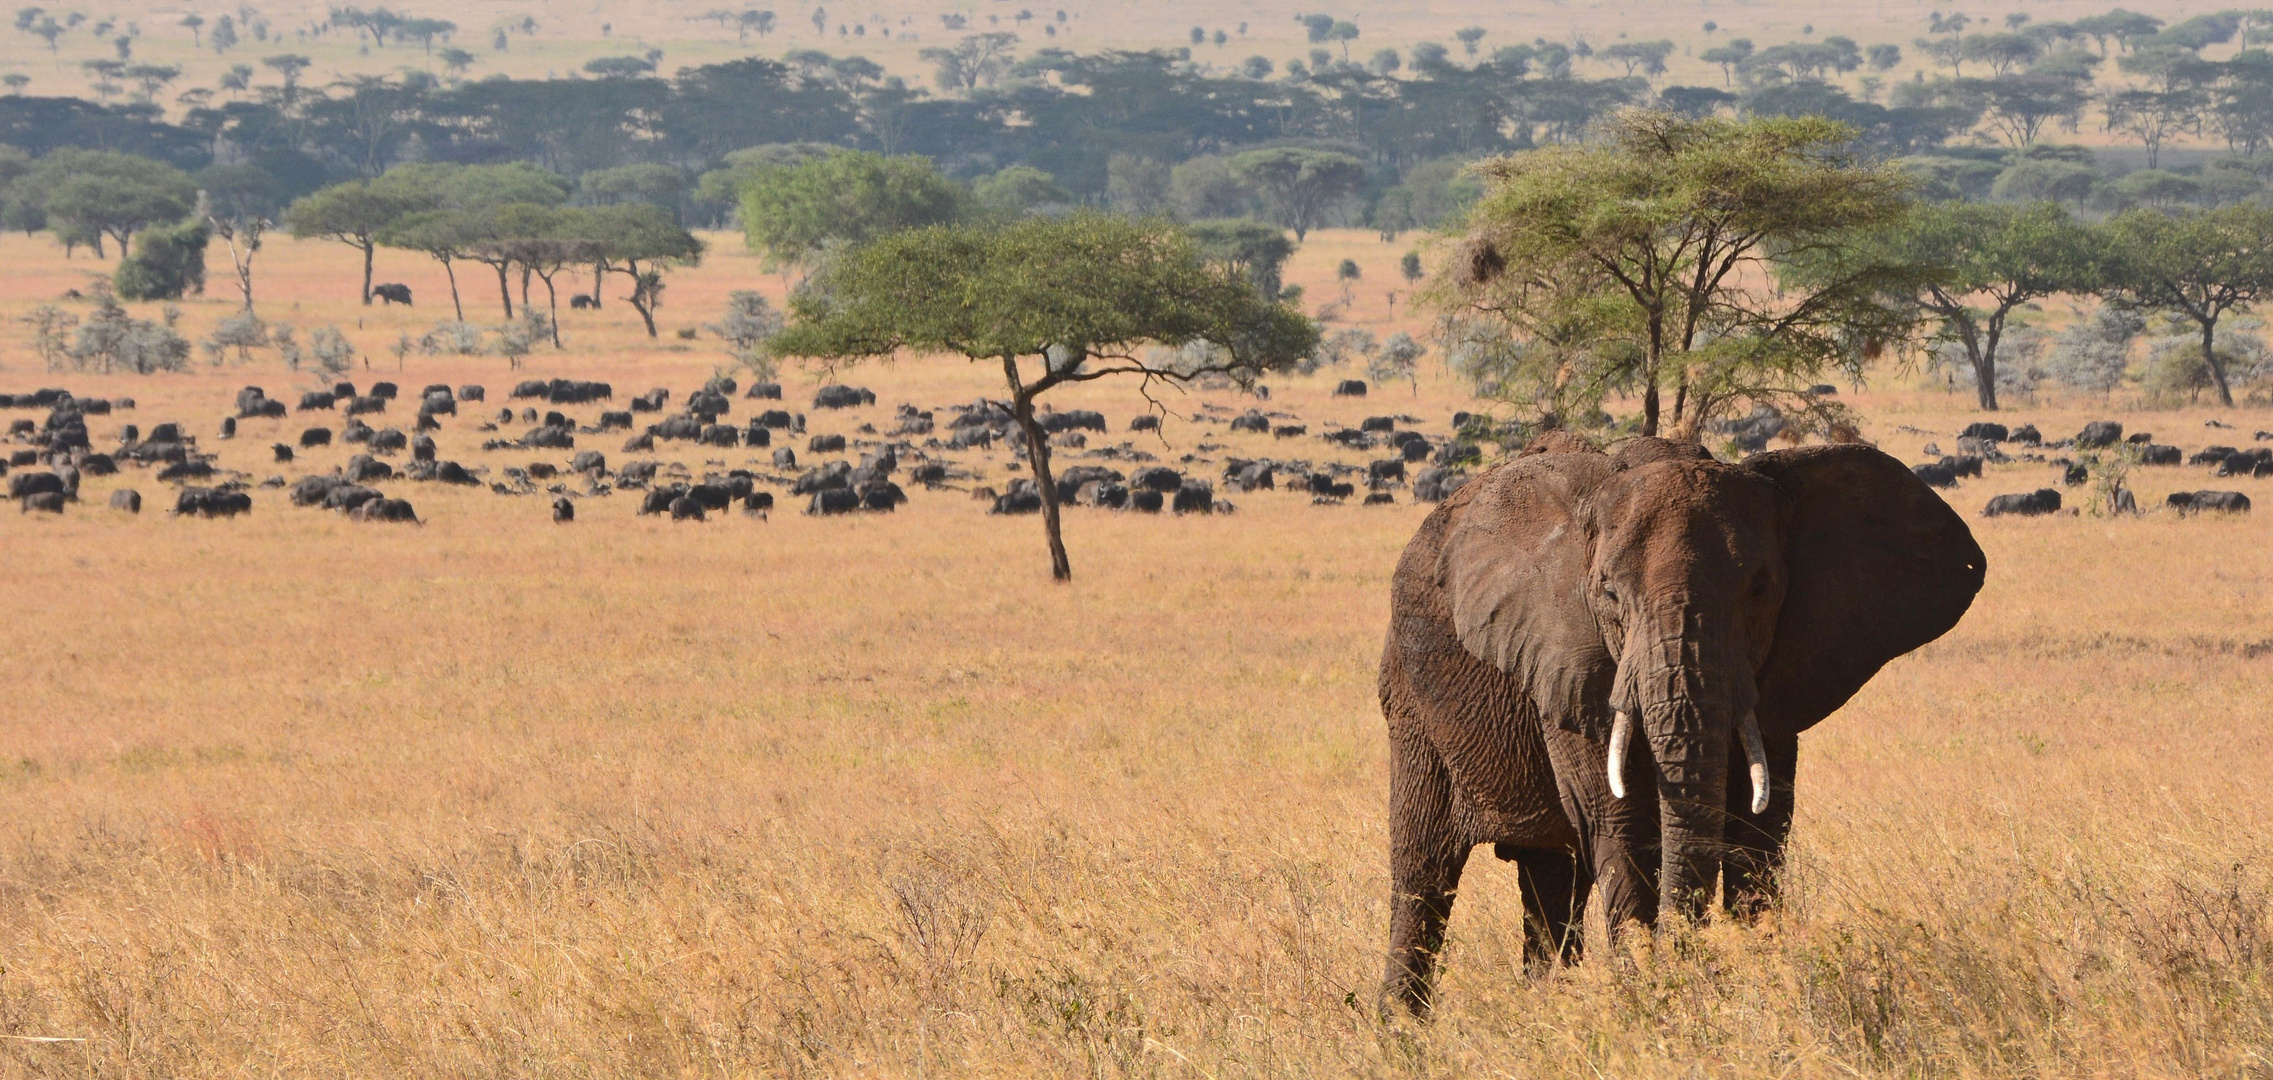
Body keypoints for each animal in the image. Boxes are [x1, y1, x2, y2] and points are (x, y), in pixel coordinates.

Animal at [1372, 432, 1982, 1014]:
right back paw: (1401, 1031)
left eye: (1760, 589)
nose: (1693, 967)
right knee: (1424, 875)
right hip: (1409, 702)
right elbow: (1624, 827)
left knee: (1549, 883)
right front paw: (1652, 1002)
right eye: (1609, 593)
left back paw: (1546, 1010)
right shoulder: (1566, 660)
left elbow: (1758, 833)